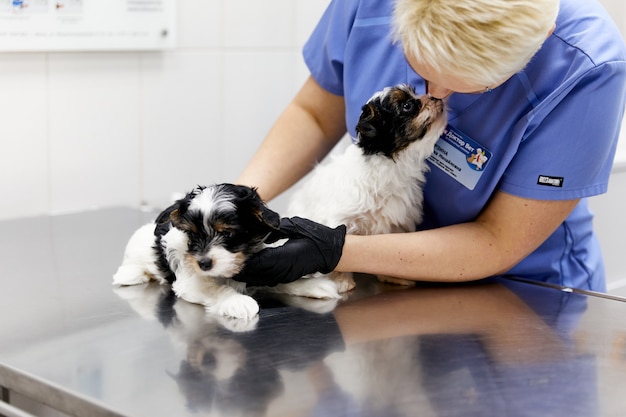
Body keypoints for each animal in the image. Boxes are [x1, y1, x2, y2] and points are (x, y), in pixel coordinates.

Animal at [112, 184, 278, 318]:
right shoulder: (188, 281)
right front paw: (236, 301)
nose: (203, 263)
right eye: (192, 234)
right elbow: (214, 288)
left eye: (226, 233)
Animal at [280, 83, 446, 294]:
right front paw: (340, 281)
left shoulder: (398, 222)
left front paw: (393, 276)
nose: (435, 97)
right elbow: (339, 257)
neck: (392, 163)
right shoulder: (340, 220)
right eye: (407, 106)